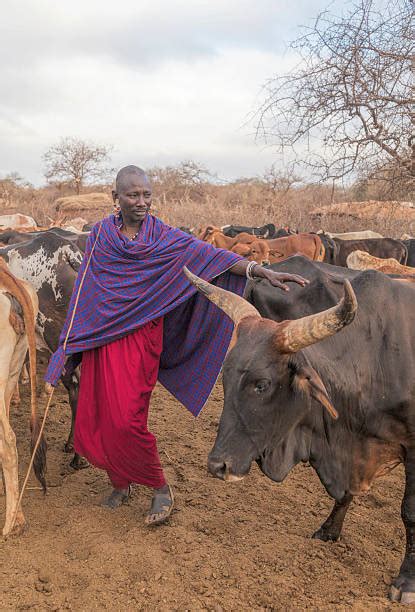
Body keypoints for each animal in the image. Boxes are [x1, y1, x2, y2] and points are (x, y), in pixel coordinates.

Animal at [185, 256, 415, 604]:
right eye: (224, 376)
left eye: (262, 385)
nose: (217, 465)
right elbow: (346, 495)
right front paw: (329, 531)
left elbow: (409, 512)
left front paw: (406, 581)